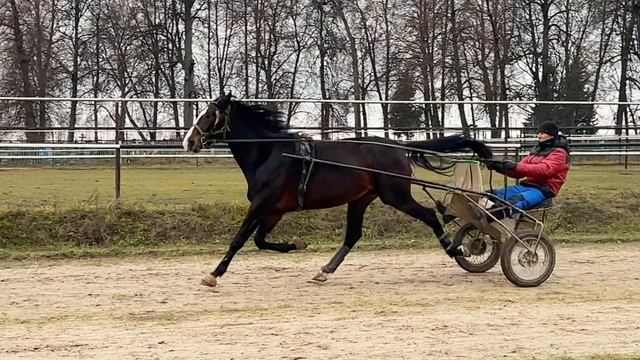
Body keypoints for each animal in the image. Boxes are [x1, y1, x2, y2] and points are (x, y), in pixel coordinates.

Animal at [182, 93, 492, 286]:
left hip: (396, 195)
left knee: (429, 215)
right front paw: (296, 244)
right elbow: (259, 241)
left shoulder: (261, 206)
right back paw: (325, 270)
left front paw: (213, 274)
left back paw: (455, 248)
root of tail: (397, 146)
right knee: (353, 234)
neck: (270, 153)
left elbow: (239, 240)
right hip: (361, 199)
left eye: (208, 115)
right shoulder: (273, 210)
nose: (189, 141)